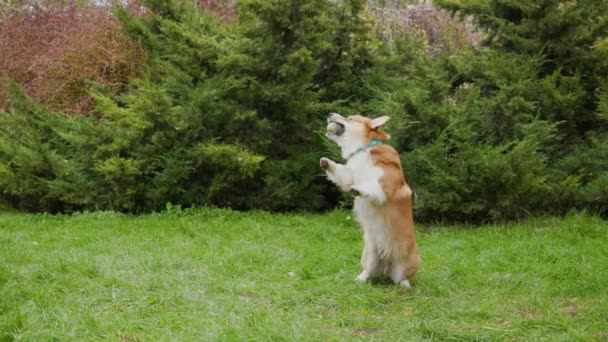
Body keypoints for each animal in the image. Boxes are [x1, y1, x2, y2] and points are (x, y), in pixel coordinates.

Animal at [320, 111, 420, 286]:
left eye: (350, 118)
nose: (330, 113)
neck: (363, 150)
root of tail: (386, 261)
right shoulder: (348, 177)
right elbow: (341, 172)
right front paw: (326, 162)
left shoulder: (383, 188)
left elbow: (371, 188)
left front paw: (358, 190)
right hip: (369, 253)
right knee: (370, 270)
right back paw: (361, 279)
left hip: (406, 262)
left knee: (400, 278)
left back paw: (405, 285)